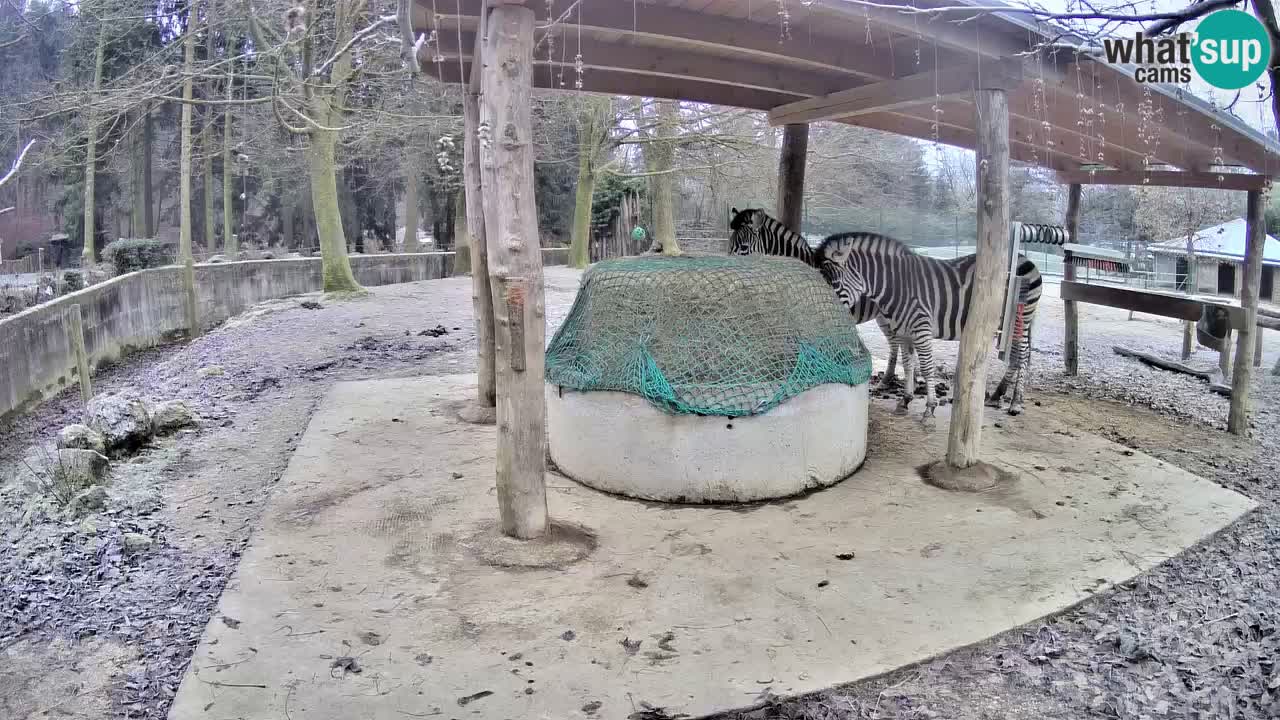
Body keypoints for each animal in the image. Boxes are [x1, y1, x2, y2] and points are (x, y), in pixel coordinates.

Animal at [814, 229, 1044, 417]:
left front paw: (930, 407)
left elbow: (926, 366)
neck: (895, 286)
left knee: (1022, 354)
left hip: (1021, 318)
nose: (818, 318)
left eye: (833, 283)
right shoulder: (904, 331)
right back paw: (998, 395)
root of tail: (1025, 258)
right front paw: (905, 400)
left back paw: (1015, 403)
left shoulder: (920, 328)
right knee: (1016, 356)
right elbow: (908, 364)